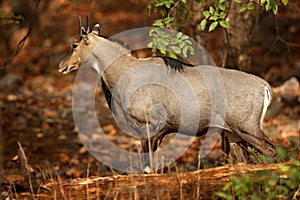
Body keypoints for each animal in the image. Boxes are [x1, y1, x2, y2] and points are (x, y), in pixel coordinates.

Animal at [58, 18, 276, 172]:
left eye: (74, 45)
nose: (61, 66)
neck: (126, 72)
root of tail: (265, 87)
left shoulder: (148, 126)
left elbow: (147, 167)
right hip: (233, 134)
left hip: (248, 129)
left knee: (272, 151)